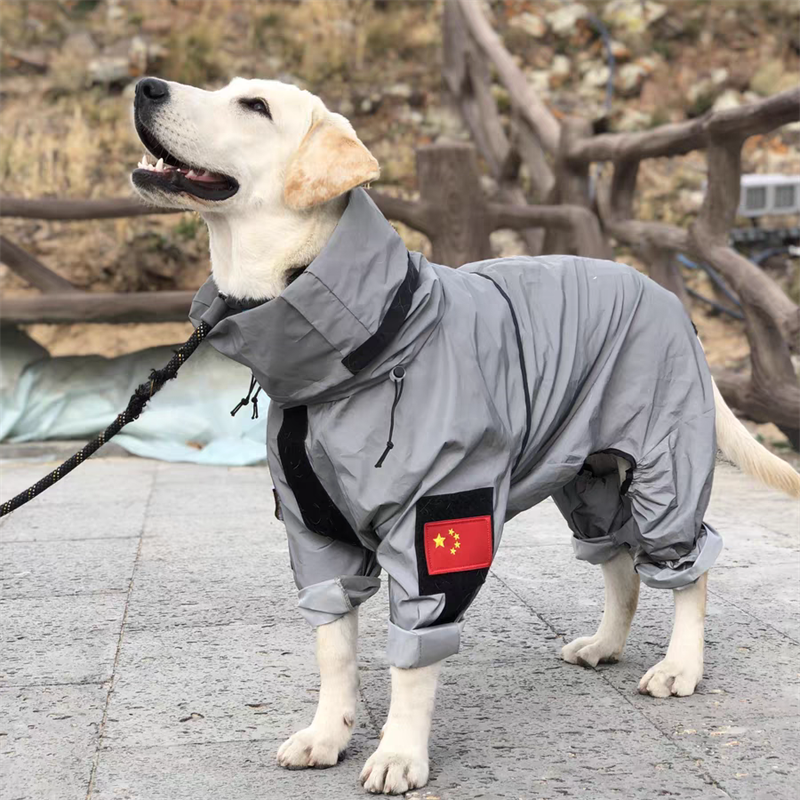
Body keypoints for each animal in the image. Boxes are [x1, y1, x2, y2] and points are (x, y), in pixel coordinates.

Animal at [131, 76, 800, 792]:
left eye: (254, 106)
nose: (145, 86)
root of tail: (667, 295)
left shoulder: (436, 521)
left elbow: (413, 656)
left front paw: (399, 753)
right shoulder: (316, 534)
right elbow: (333, 648)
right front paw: (327, 733)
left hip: (664, 465)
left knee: (684, 567)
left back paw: (680, 666)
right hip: (588, 479)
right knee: (620, 564)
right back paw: (604, 645)